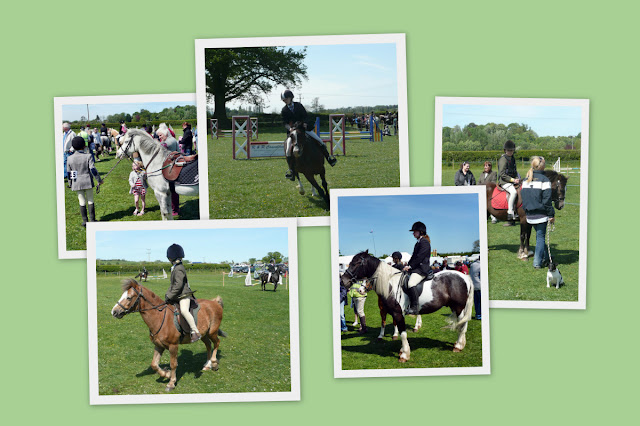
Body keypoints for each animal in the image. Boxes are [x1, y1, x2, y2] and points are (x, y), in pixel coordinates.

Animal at [340, 251, 474, 363]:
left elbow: (403, 333)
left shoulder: (398, 313)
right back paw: (460, 344)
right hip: (455, 307)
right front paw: (401, 350)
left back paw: (458, 346)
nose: (343, 281)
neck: (390, 285)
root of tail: (464, 277)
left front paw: (404, 355)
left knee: (462, 324)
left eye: (356, 263)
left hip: (459, 307)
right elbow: (398, 331)